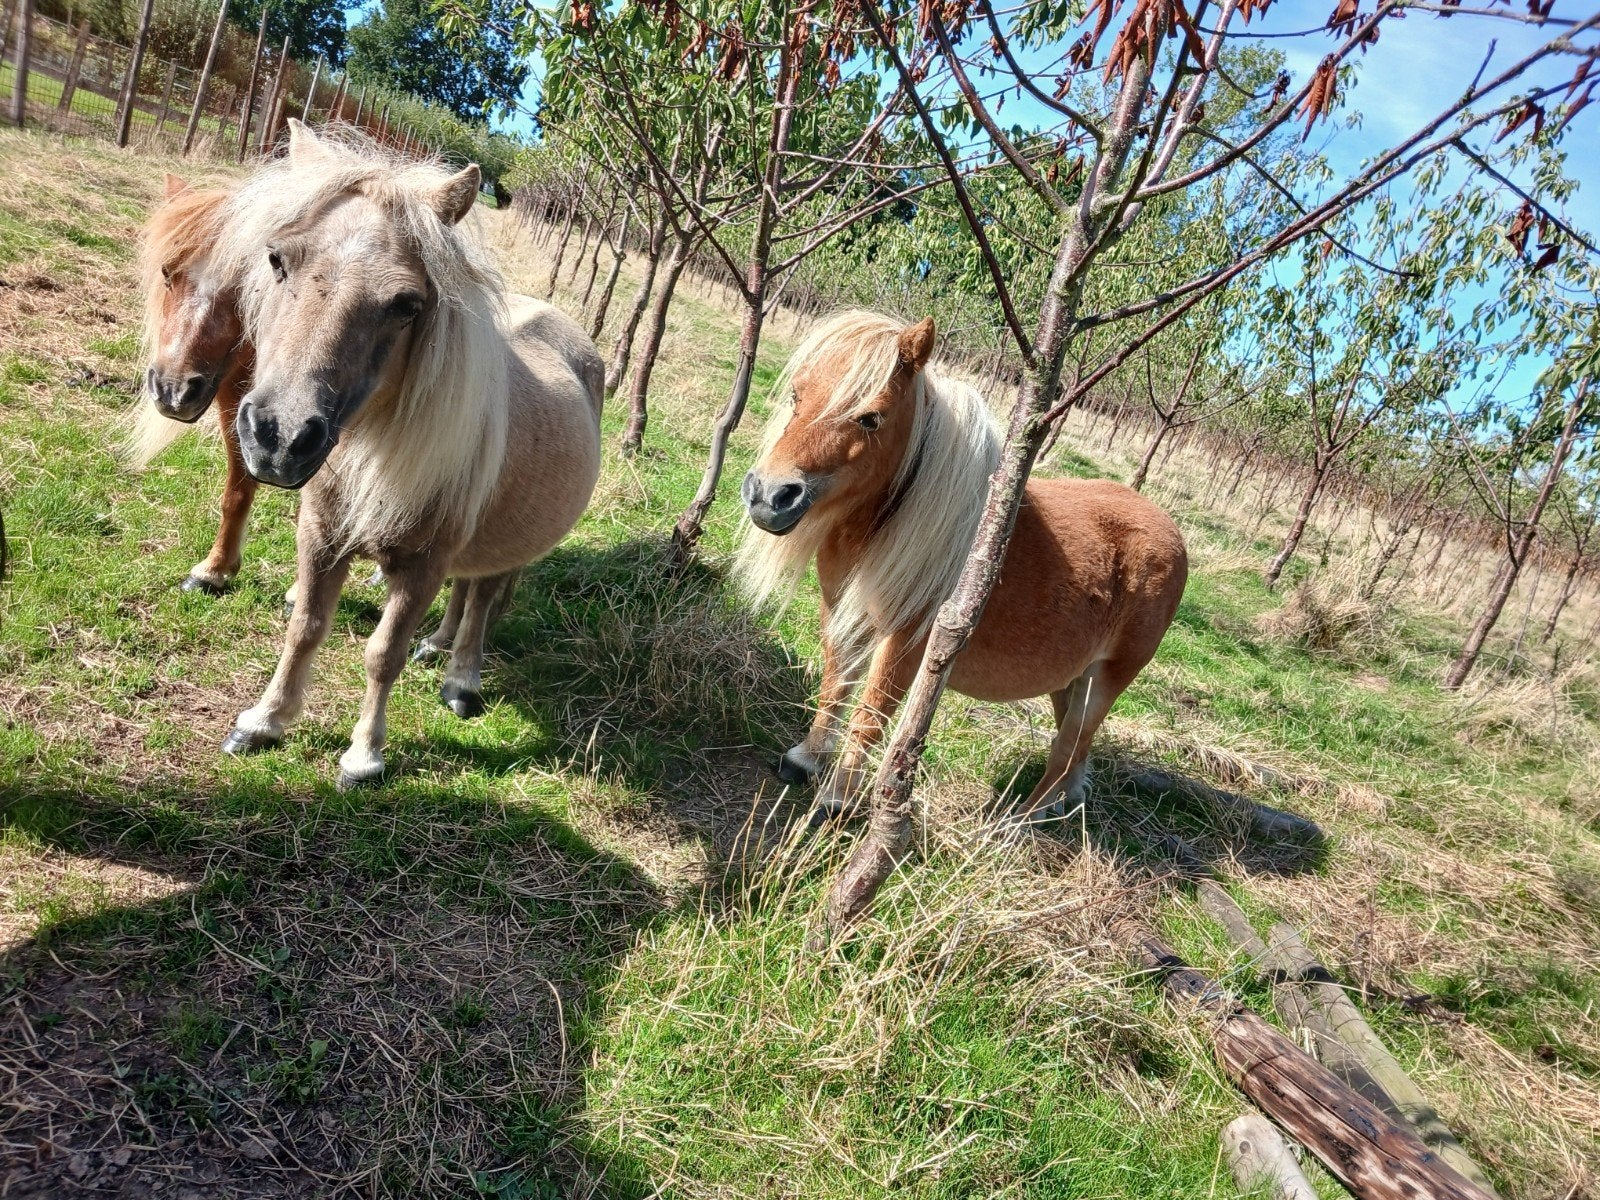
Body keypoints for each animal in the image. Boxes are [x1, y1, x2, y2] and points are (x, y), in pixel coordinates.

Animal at [216, 121, 604, 788]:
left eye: (405, 304)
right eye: (277, 259)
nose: (279, 436)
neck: (372, 453)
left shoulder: (422, 566)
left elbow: (383, 654)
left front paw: (364, 756)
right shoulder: (321, 536)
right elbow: (306, 628)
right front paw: (264, 721)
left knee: (481, 598)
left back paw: (462, 679)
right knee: (466, 592)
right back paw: (440, 645)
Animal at [737, 311, 1188, 827]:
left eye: (870, 418)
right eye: (797, 395)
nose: (769, 496)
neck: (882, 525)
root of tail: (1171, 531)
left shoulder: (909, 642)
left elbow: (870, 714)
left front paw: (837, 798)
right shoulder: (840, 614)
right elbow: (835, 687)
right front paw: (805, 761)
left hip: (1106, 679)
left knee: (1067, 749)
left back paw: (1018, 823)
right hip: (1072, 677)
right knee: (1073, 748)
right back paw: (1058, 805)